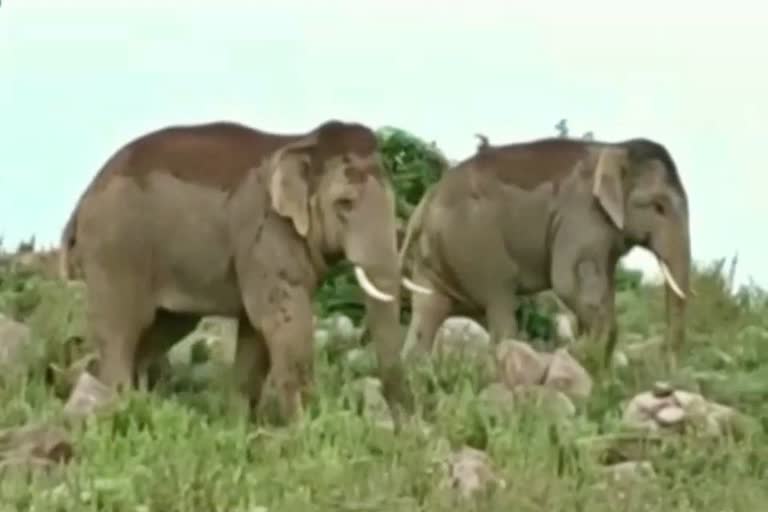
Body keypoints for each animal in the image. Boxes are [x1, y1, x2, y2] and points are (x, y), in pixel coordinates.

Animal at [58, 119, 432, 424]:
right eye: (345, 203)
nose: (407, 426)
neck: (304, 143)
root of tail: (80, 203)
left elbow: (256, 332)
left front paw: (241, 426)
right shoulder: (267, 233)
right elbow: (282, 320)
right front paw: (307, 428)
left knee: (160, 330)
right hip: (116, 253)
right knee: (121, 332)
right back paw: (117, 407)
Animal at [400, 135, 692, 372]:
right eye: (659, 207)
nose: (667, 366)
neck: (616, 148)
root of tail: (423, 205)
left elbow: (602, 288)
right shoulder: (582, 218)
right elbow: (567, 282)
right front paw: (586, 360)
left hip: (435, 259)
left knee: (427, 313)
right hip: (474, 242)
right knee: (499, 299)